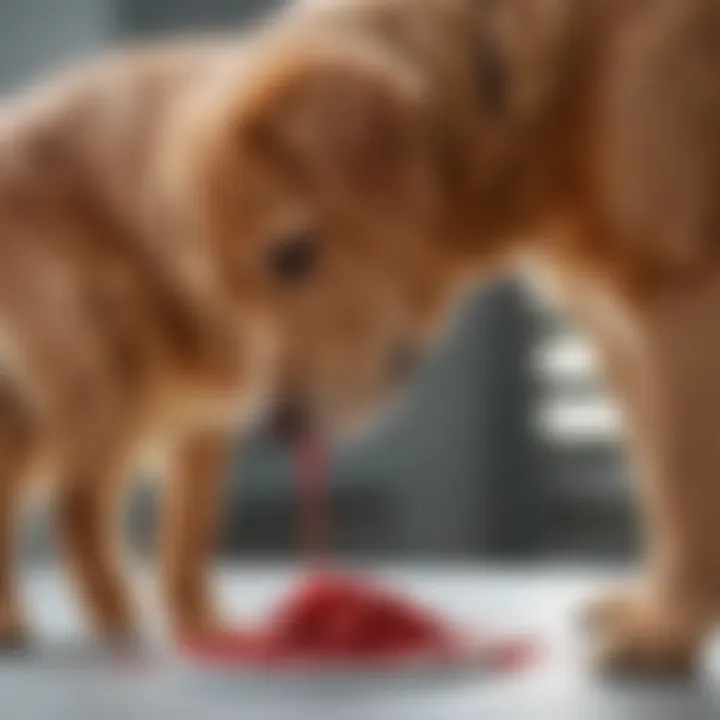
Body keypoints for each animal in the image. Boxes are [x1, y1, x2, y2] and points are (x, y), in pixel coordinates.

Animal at [249, 0, 720, 676]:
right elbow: (661, 487)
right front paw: (658, 609)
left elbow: (687, 489)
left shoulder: (686, 304)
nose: (274, 426)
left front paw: (667, 628)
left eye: (291, 255)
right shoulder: (625, 325)